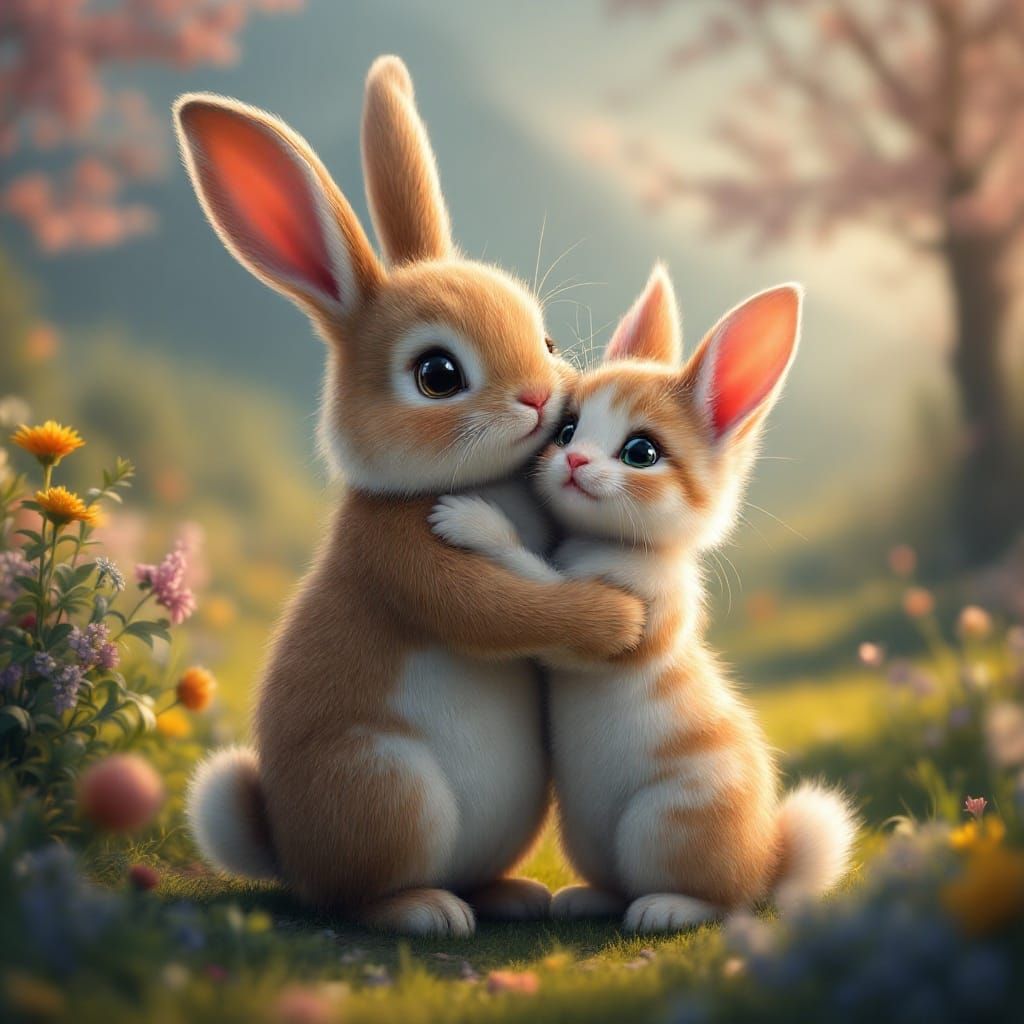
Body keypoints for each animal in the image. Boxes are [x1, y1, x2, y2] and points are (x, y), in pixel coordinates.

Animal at [174, 55, 646, 937]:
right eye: (437, 375)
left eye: (546, 339)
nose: (541, 396)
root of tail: (287, 853)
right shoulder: (397, 556)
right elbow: (498, 609)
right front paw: (618, 621)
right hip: (386, 786)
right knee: (355, 897)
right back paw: (426, 911)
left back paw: (507, 896)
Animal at [430, 265, 858, 934]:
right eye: (569, 428)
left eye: (641, 453)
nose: (574, 459)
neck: (613, 544)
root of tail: (769, 864)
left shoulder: (631, 614)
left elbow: (544, 581)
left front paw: (469, 519)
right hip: (588, 836)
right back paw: (585, 900)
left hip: (662, 825)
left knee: (719, 900)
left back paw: (664, 908)